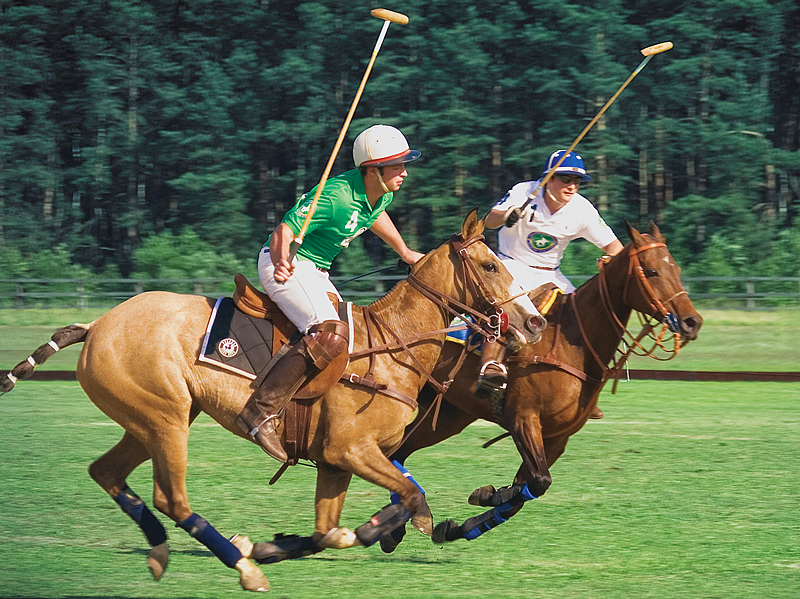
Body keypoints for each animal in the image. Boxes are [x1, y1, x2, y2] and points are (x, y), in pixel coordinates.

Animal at [0, 210, 544, 592]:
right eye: (491, 265)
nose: (535, 322)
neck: (393, 349)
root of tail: (97, 324)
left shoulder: (335, 463)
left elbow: (328, 531)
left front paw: (272, 544)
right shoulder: (352, 451)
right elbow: (409, 497)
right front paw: (382, 531)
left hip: (150, 419)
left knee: (108, 473)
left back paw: (163, 551)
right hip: (165, 418)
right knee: (170, 497)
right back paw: (241, 567)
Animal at [380, 220, 700, 552]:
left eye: (676, 268)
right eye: (652, 271)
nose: (692, 322)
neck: (573, 343)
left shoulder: (557, 437)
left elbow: (527, 489)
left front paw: (465, 519)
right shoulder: (524, 419)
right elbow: (536, 482)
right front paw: (489, 496)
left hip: (449, 416)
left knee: (399, 451)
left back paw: (396, 527)